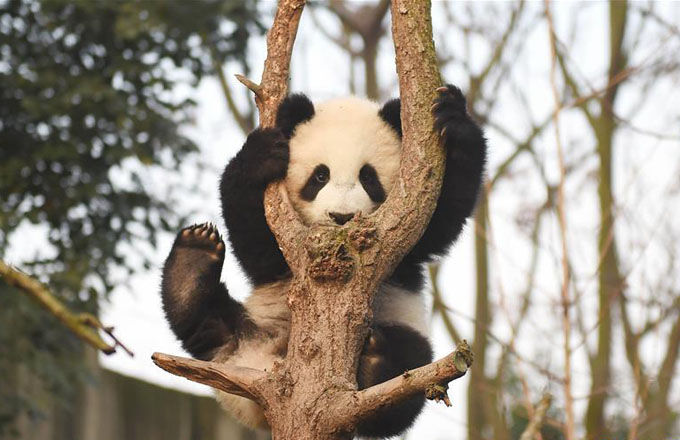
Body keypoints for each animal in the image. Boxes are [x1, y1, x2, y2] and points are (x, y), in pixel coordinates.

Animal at [160, 84, 487, 438]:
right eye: (319, 176)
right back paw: (191, 264)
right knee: (207, 327)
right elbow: (256, 246)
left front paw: (452, 117)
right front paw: (261, 156)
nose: (341, 217)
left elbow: (442, 217)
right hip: (250, 325)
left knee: (408, 374)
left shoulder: (406, 241)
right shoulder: (283, 250)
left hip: (404, 331)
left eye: (368, 177)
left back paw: (375, 364)